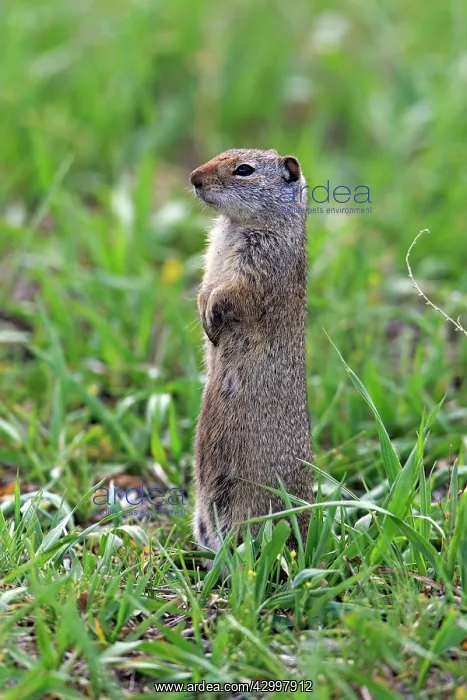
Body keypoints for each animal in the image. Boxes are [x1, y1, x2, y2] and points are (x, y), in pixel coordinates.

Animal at [189, 148, 313, 561]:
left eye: (244, 170)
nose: (194, 177)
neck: (235, 225)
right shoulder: (212, 255)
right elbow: (205, 285)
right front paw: (204, 315)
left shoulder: (260, 264)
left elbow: (232, 292)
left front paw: (212, 317)